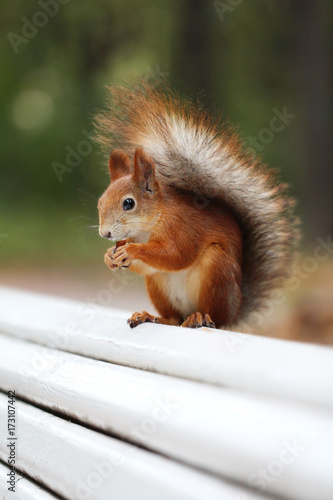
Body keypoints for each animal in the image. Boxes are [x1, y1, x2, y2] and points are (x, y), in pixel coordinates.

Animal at [94, 78, 298, 330]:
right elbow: (148, 265)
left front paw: (131, 250)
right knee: (173, 318)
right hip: (158, 285)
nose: (105, 233)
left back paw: (199, 317)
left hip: (217, 269)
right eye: (100, 202)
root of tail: (236, 310)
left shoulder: (183, 227)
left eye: (128, 203)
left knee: (214, 318)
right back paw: (150, 316)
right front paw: (109, 256)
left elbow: (175, 255)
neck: (148, 225)